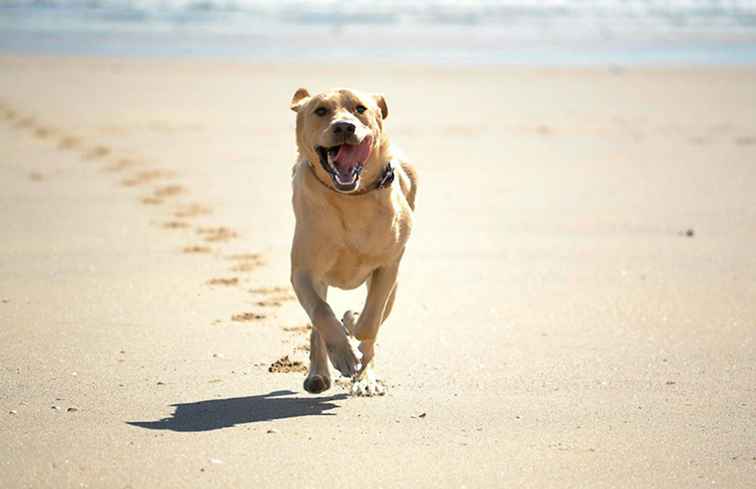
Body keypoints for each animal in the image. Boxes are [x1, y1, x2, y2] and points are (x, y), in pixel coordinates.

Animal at [290, 86, 420, 392]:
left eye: (360, 109)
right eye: (321, 110)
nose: (344, 127)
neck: (352, 198)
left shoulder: (388, 268)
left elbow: (370, 322)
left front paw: (352, 322)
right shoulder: (303, 272)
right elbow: (321, 313)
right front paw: (344, 353)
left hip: (393, 285)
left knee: (377, 320)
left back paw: (366, 378)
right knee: (317, 321)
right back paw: (318, 373)